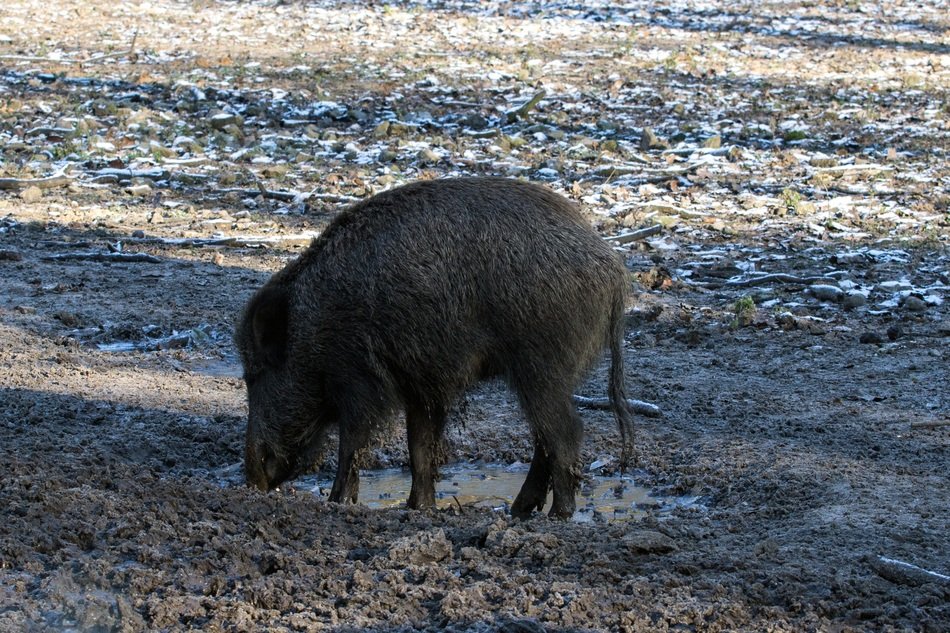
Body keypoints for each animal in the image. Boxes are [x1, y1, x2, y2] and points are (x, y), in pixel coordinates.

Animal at [235, 177, 634, 519]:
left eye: (254, 375)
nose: (253, 480)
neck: (313, 329)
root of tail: (614, 271)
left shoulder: (360, 380)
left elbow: (353, 445)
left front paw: (336, 504)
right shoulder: (421, 384)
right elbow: (420, 447)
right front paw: (418, 509)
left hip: (542, 365)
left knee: (565, 432)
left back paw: (558, 515)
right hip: (545, 374)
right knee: (544, 438)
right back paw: (520, 510)